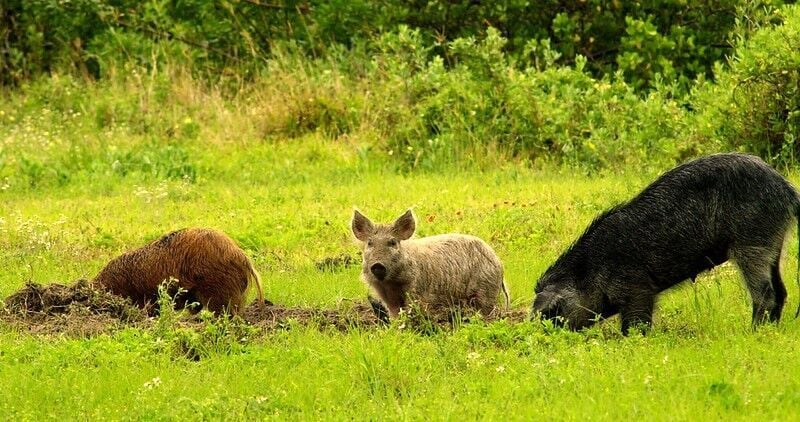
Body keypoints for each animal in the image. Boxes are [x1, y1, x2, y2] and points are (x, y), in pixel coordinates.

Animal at [352, 209, 509, 320]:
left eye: (392, 243)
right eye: (370, 243)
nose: (377, 265)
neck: (391, 284)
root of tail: (499, 262)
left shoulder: (416, 289)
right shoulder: (386, 297)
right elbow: (394, 313)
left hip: (485, 288)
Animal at [532, 153, 800, 334]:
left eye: (553, 313)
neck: (590, 271)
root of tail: (788, 190)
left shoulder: (637, 287)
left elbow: (636, 321)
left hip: (752, 242)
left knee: (765, 291)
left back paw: (753, 332)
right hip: (775, 243)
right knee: (781, 289)